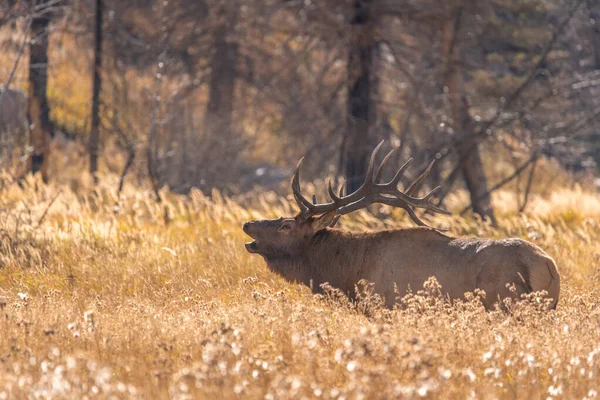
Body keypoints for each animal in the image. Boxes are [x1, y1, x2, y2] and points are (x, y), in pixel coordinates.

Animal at [241, 142, 560, 310]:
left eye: (285, 226)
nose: (247, 224)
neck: (349, 272)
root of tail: (548, 265)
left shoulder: (388, 304)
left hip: (505, 302)